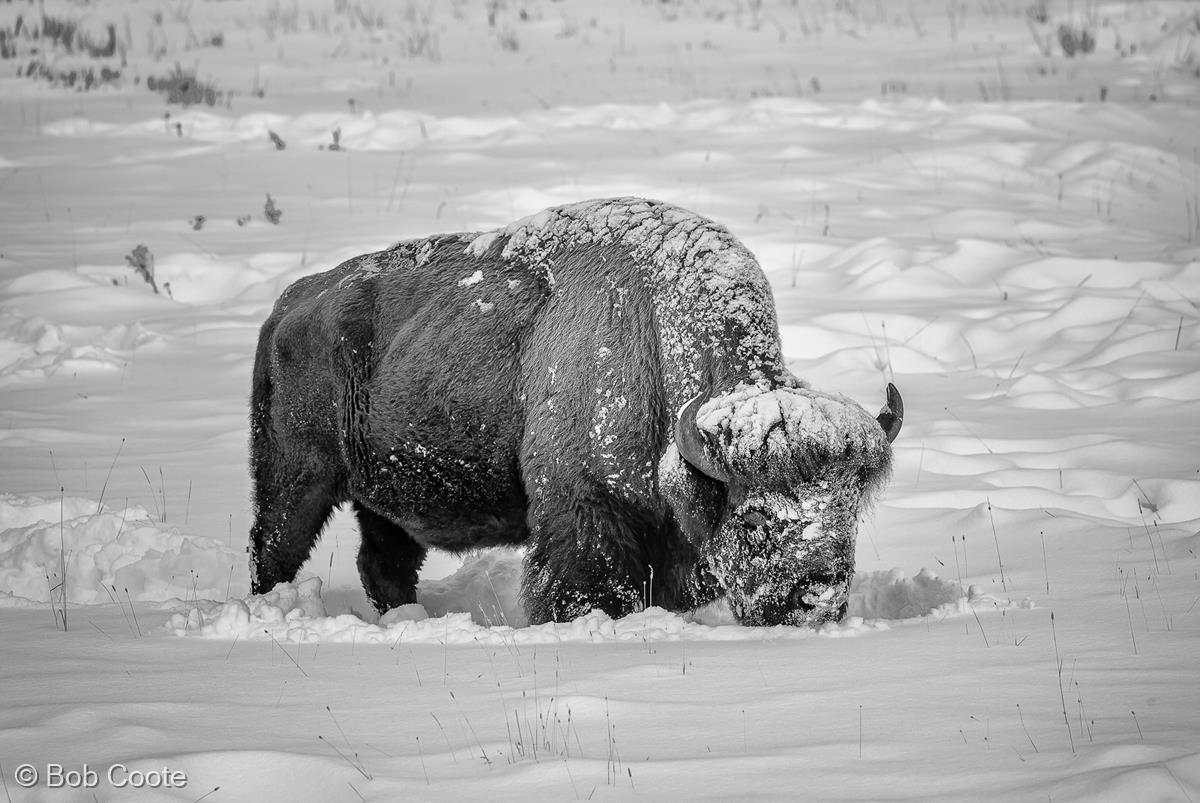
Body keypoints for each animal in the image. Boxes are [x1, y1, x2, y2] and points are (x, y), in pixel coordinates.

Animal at [248, 195, 902, 624]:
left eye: (847, 513)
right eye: (756, 518)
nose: (817, 599)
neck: (654, 335)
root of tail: (289, 305)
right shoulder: (585, 508)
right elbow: (585, 586)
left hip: (380, 498)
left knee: (384, 563)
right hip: (296, 479)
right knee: (274, 550)